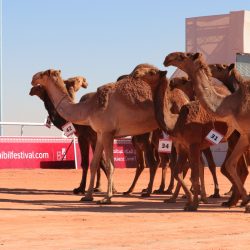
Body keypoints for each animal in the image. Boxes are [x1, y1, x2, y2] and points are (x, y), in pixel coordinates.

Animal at [31, 63, 167, 204]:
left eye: (44, 73)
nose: (33, 78)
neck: (89, 108)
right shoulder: (100, 134)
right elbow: (94, 164)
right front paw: (88, 196)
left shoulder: (106, 133)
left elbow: (109, 165)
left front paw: (107, 197)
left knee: (153, 162)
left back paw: (149, 191)